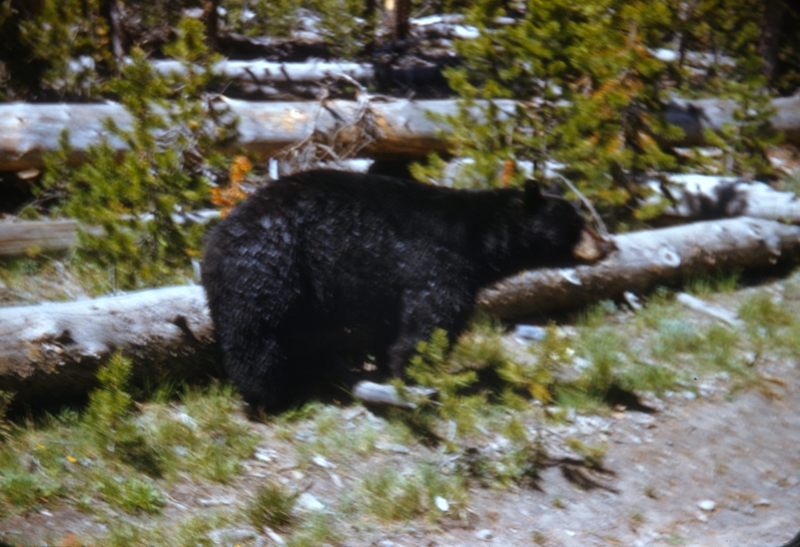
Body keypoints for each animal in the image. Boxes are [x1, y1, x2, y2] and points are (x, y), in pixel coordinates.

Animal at [202, 170, 608, 412]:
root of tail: (215, 243)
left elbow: (393, 326)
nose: (607, 245)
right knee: (258, 337)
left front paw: (389, 367)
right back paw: (270, 395)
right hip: (272, 271)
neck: (478, 240)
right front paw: (415, 375)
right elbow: (430, 323)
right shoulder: (436, 265)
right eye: (576, 223)